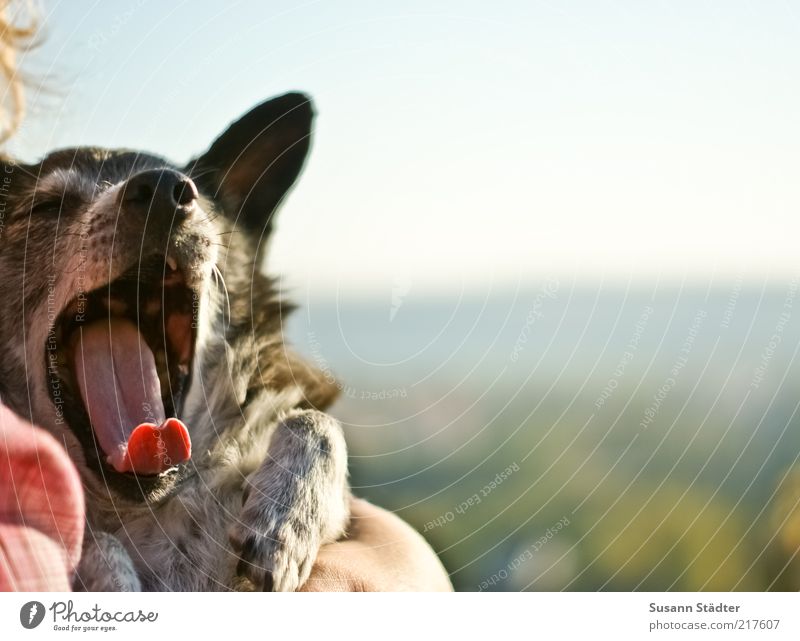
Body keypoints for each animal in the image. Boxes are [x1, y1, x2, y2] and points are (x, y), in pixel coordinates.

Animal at [0, 91, 350, 592]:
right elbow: (93, 543)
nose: (163, 190)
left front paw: (285, 522)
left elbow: (314, 423)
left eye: (198, 198)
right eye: (47, 207)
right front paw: (111, 577)